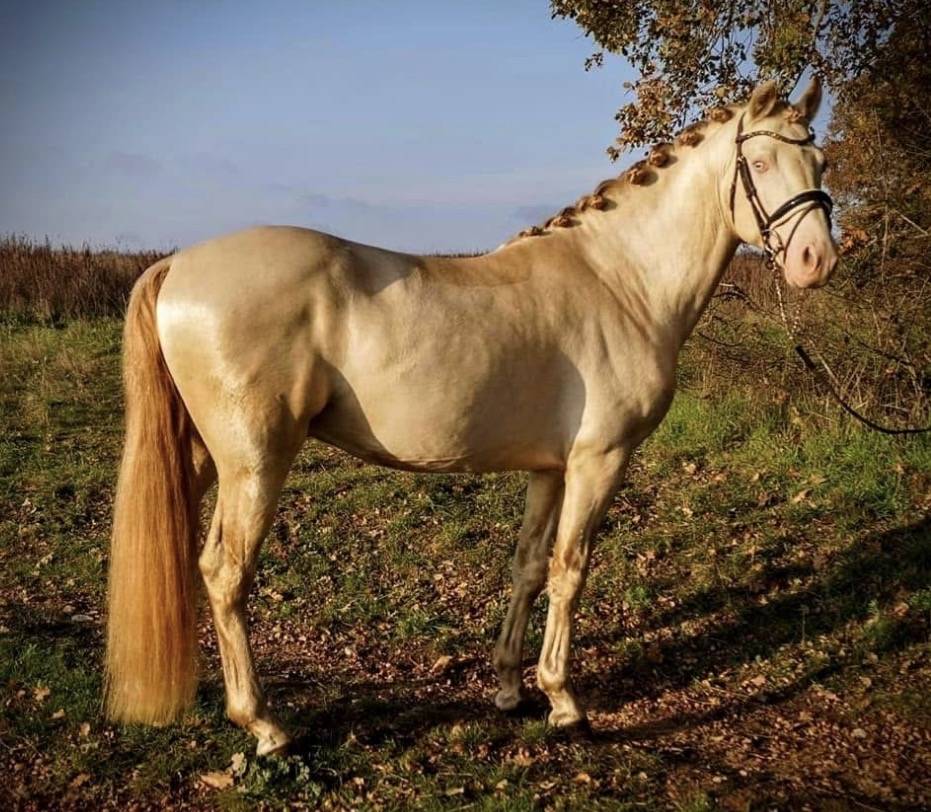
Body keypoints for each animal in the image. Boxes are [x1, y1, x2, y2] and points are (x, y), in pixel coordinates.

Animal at [105, 78, 837, 756]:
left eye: (819, 160)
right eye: (761, 162)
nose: (816, 261)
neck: (620, 281)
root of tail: (178, 265)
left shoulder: (549, 469)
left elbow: (529, 566)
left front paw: (511, 688)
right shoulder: (599, 462)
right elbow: (571, 569)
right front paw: (565, 703)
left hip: (208, 460)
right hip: (255, 464)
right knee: (225, 575)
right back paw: (264, 725)